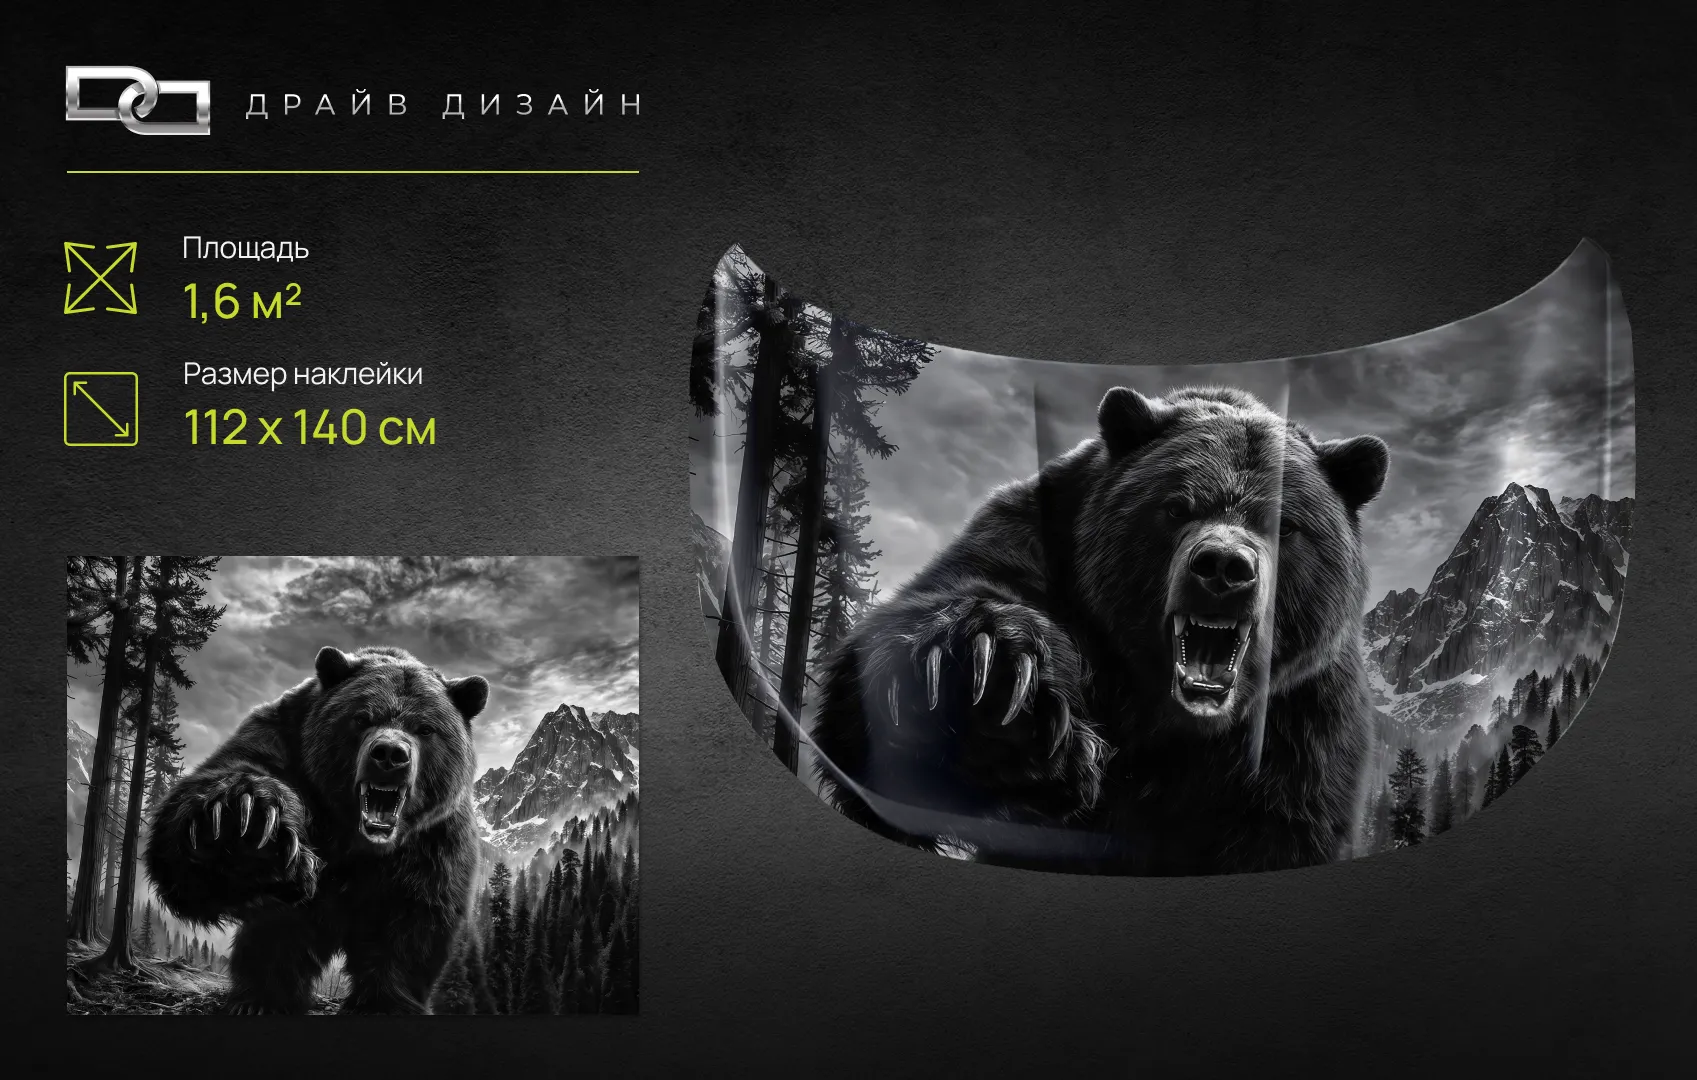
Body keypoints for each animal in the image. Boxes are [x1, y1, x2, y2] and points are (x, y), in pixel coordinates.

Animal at [145, 645, 489, 1013]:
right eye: (362, 717)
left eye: (425, 728)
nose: (390, 754)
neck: (356, 838)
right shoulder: (283, 743)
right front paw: (246, 832)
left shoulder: (434, 837)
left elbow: (414, 915)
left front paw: (383, 1002)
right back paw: (261, 997)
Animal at [808, 385, 1388, 874]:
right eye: (1176, 506)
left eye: (1283, 524)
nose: (1224, 567)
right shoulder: (1038, 540)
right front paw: (992, 686)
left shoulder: (1302, 731)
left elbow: (1282, 831)